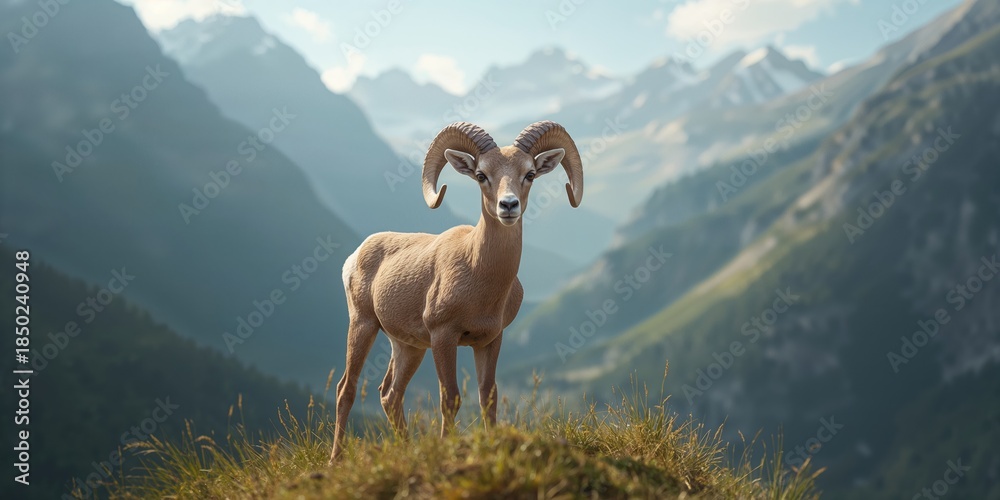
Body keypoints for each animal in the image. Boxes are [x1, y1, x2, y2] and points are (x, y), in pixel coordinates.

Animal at [328, 121, 584, 463]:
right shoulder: (443, 337)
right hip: (363, 325)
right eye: (481, 175)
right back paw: (335, 460)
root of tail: (355, 256)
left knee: (390, 394)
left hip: (408, 347)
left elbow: (488, 396)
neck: (479, 275)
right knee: (347, 388)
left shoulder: (489, 341)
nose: (508, 206)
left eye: (529, 174)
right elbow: (450, 398)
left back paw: (407, 448)